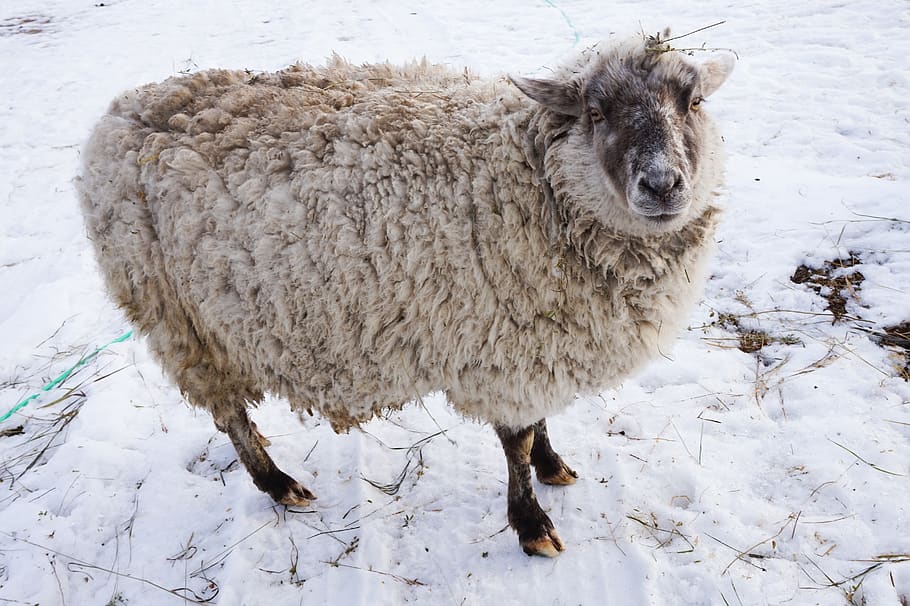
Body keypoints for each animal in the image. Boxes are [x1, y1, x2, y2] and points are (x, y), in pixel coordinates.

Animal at [77, 35, 734, 557]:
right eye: (596, 111)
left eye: (694, 103)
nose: (662, 185)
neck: (532, 178)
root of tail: (119, 111)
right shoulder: (501, 347)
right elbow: (516, 440)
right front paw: (531, 525)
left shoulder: (534, 343)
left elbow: (537, 425)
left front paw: (554, 467)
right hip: (180, 322)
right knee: (228, 414)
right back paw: (277, 483)